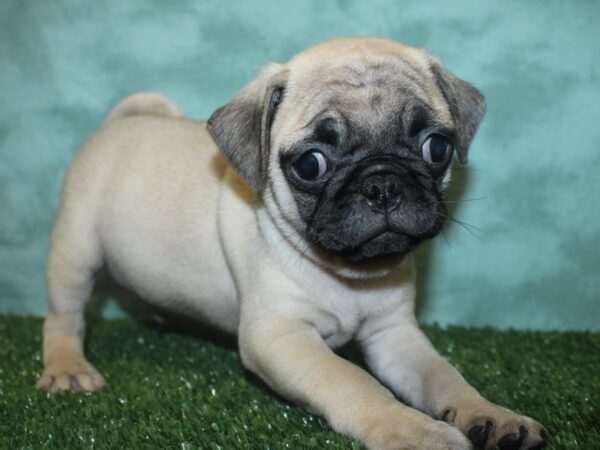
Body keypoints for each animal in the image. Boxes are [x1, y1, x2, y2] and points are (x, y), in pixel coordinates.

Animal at [38, 37, 548, 448]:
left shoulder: (394, 336)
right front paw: (412, 430)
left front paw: (492, 416)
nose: (383, 183)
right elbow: (353, 381)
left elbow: (444, 376)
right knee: (64, 316)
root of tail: (123, 122)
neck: (349, 275)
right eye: (310, 164)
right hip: (76, 252)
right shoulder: (280, 337)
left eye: (436, 148)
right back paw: (67, 367)